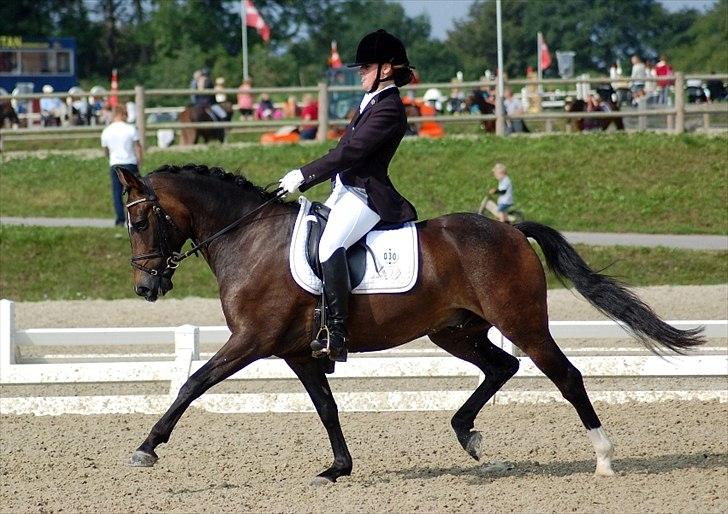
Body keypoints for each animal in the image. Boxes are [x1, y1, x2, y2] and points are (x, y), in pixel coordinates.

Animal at [117, 164, 703, 484]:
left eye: (140, 219)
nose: (146, 288)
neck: (248, 237)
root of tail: (510, 231)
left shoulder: (251, 340)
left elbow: (194, 383)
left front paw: (147, 447)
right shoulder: (298, 351)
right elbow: (326, 406)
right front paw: (338, 467)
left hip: (521, 321)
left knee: (564, 375)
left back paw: (603, 459)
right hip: (455, 330)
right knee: (501, 367)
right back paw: (468, 437)